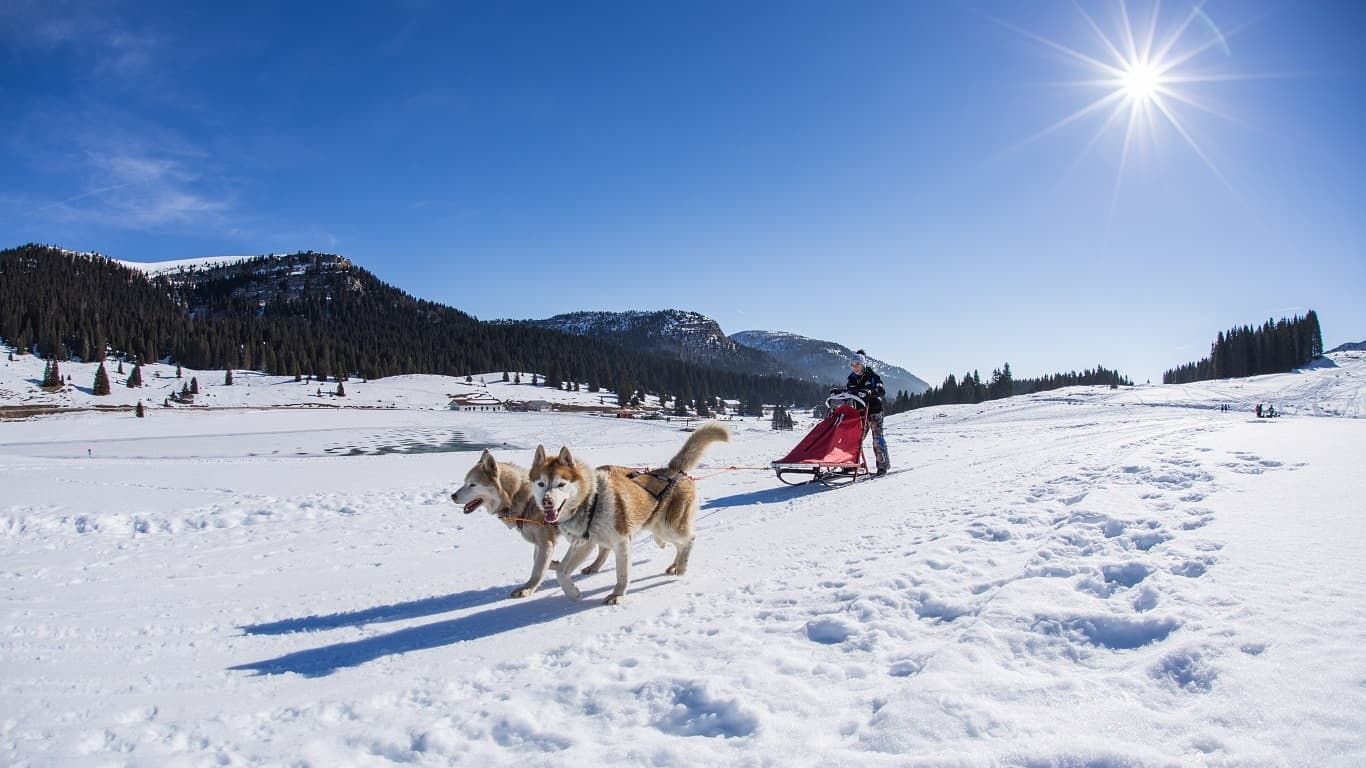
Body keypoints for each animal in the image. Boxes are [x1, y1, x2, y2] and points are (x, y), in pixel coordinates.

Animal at [453, 448, 609, 598]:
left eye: (472, 484)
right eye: (465, 482)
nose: (452, 496)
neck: (523, 499)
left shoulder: (546, 542)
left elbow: (538, 569)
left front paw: (527, 589)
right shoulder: (540, 543)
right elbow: (538, 561)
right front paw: (555, 564)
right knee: (604, 549)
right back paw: (594, 567)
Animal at [527, 420, 732, 601]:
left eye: (561, 484)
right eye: (541, 484)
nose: (547, 502)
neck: (592, 501)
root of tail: (674, 471)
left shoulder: (621, 542)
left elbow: (622, 574)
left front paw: (617, 595)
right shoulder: (583, 544)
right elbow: (561, 572)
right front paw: (573, 593)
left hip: (669, 527)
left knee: (689, 540)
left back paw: (681, 567)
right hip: (660, 530)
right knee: (679, 545)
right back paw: (675, 565)